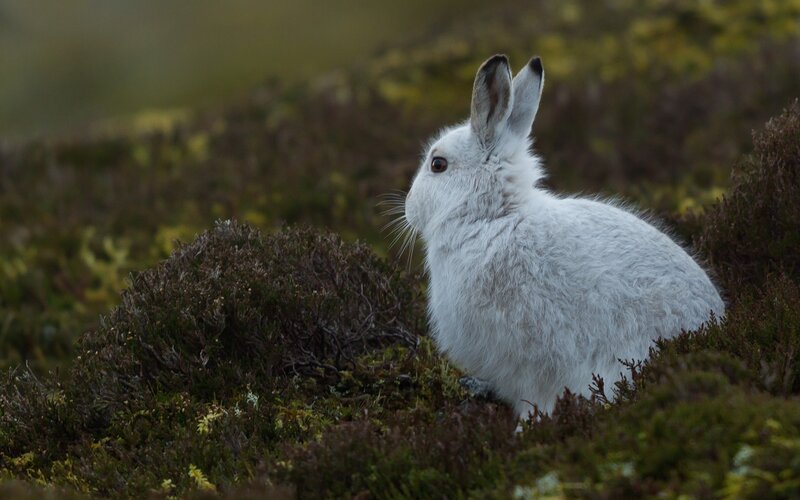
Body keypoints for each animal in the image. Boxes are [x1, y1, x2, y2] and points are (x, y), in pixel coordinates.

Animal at [403, 54, 725, 418]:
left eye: (438, 164)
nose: (408, 207)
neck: (494, 218)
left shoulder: (533, 358)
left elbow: (536, 396)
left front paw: (526, 425)